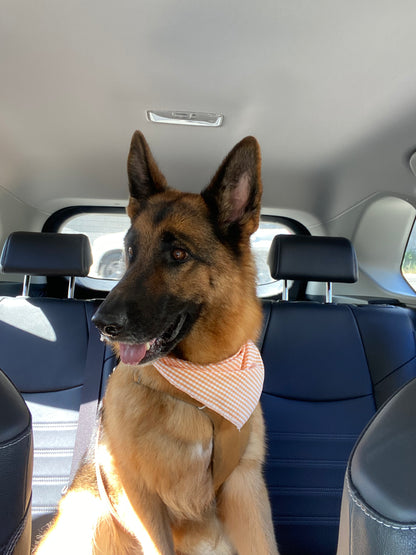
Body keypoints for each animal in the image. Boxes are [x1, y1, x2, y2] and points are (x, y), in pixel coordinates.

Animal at [35, 131, 279, 554]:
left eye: (178, 253)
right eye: (131, 252)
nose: (102, 324)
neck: (198, 393)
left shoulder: (245, 486)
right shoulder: (139, 496)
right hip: (91, 519)